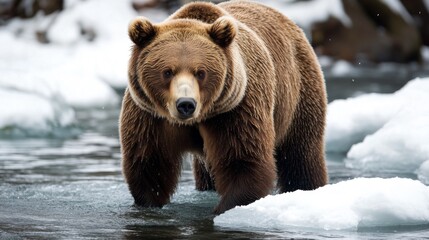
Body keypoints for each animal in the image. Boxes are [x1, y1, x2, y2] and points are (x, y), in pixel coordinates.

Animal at [118, 0, 326, 214]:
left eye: (201, 72)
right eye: (167, 71)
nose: (186, 104)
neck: (197, 119)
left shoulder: (236, 109)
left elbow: (243, 160)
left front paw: (225, 208)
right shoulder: (150, 115)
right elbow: (150, 163)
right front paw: (148, 203)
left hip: (298, 94)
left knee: (301, 154)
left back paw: (306, 187)